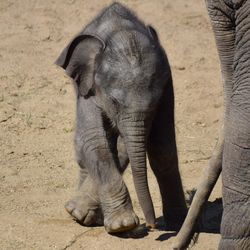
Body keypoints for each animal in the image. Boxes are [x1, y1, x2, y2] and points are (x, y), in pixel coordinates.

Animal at [55, 2, 187, 232]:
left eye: (154, 104)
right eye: (114, 101)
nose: (151, 226)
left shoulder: (167, 82)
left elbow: (162, 145)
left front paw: (179, 222)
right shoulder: (89, 86)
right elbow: (94, 141)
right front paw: (123, 225)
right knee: (85, 147)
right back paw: (79, 214)